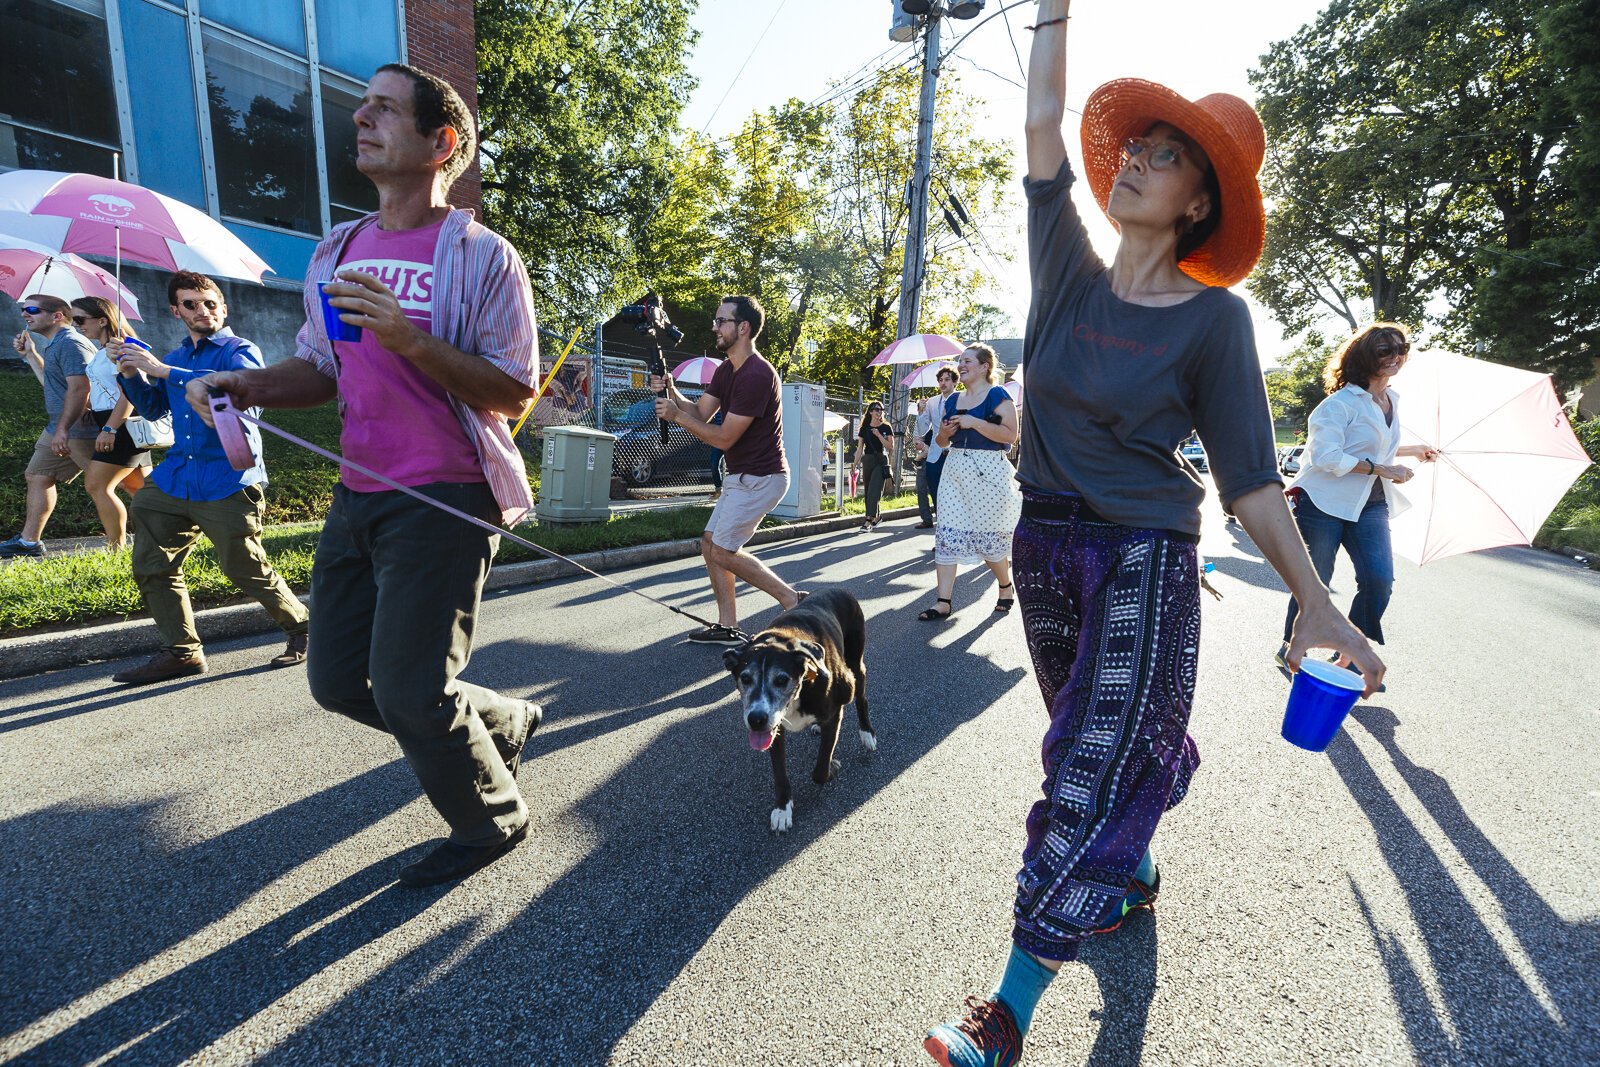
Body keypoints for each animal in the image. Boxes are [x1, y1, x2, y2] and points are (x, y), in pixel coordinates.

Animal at [723, 588, 876, 831]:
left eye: (782, 679)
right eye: (745, 678)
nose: (756, 719)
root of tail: (837, 588)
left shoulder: (834, 714)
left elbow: (820, 770)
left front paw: (832, 767)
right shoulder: (774, 728)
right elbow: (779, 773)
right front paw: (782, 809)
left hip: (855, 664)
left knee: (861, 698)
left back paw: (867, 733)